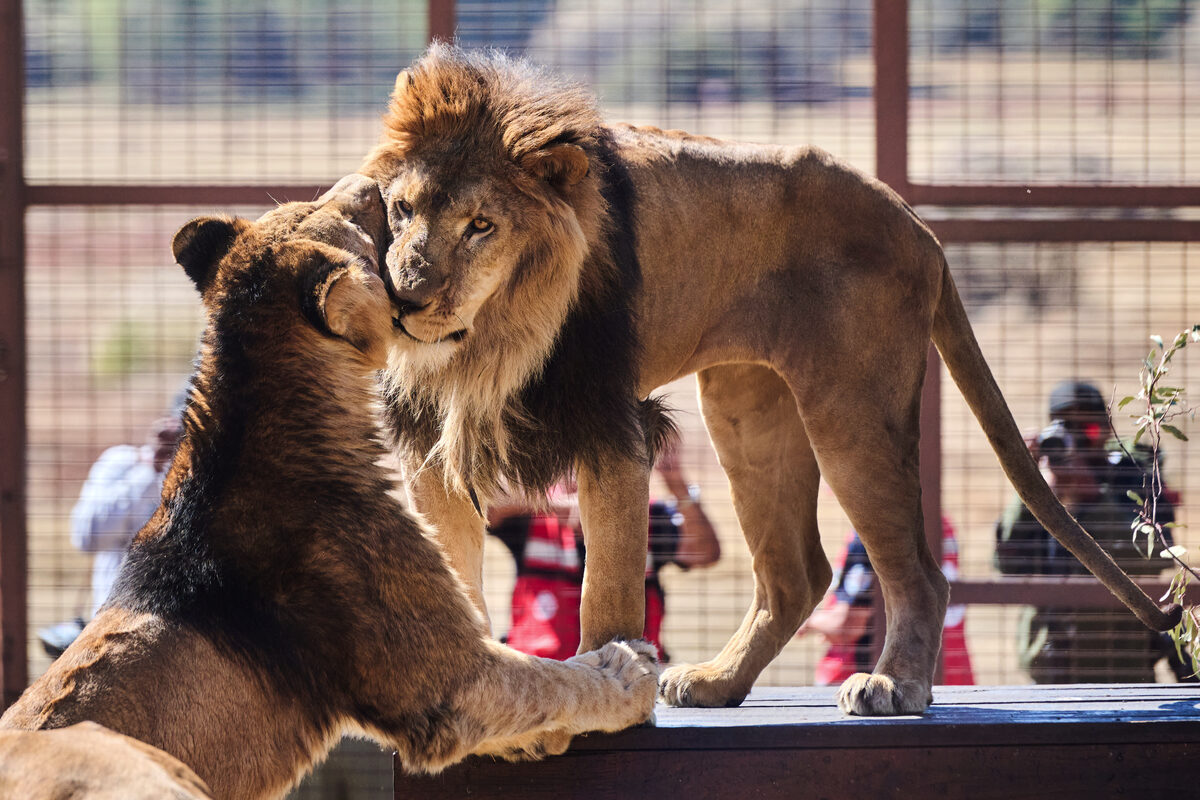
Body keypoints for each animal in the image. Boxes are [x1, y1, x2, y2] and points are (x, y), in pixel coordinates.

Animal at [0, 174, 659, 799]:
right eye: (348, 218)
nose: (371, 185)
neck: (253, 413)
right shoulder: (452, 683)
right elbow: (554, 680)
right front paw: (627, 670)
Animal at [359, 45, 1181, 717]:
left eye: (481, 225)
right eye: (402, 210)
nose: (409, 298)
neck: (490, 335)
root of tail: (918, 224)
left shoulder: (612, 423)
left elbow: (608, 581)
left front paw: (606, 686)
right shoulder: (428, 436)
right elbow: (454, 566)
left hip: (852, 410)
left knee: (917, 569)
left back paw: (895, 685)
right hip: (747, 410)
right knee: (797, 573)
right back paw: (718, 681)